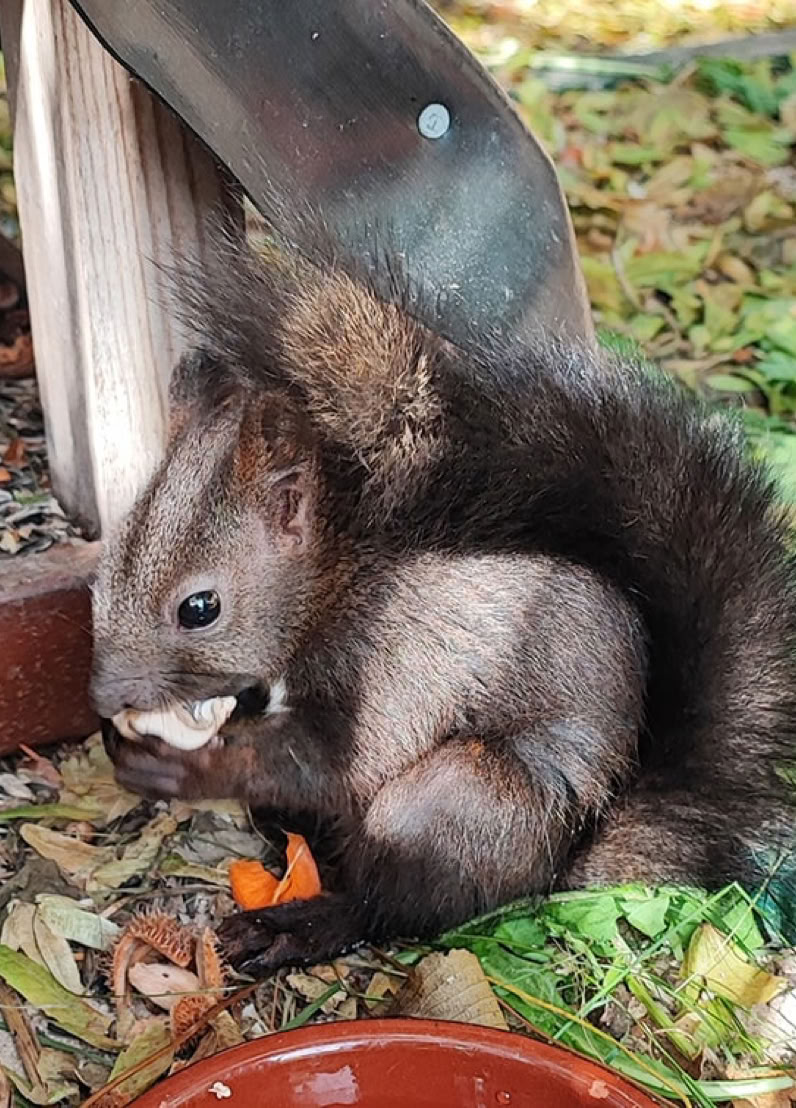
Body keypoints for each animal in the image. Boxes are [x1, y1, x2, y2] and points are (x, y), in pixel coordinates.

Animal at [91, 221, 796, 974]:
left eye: (200, 608)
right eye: (101, 573)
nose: (103, 697)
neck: (332, 583)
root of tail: (556, 867)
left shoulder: (394, 665)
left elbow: (328, 763)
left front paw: (189, 765)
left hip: (457, 800)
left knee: (394, 905)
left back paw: (299, 925)